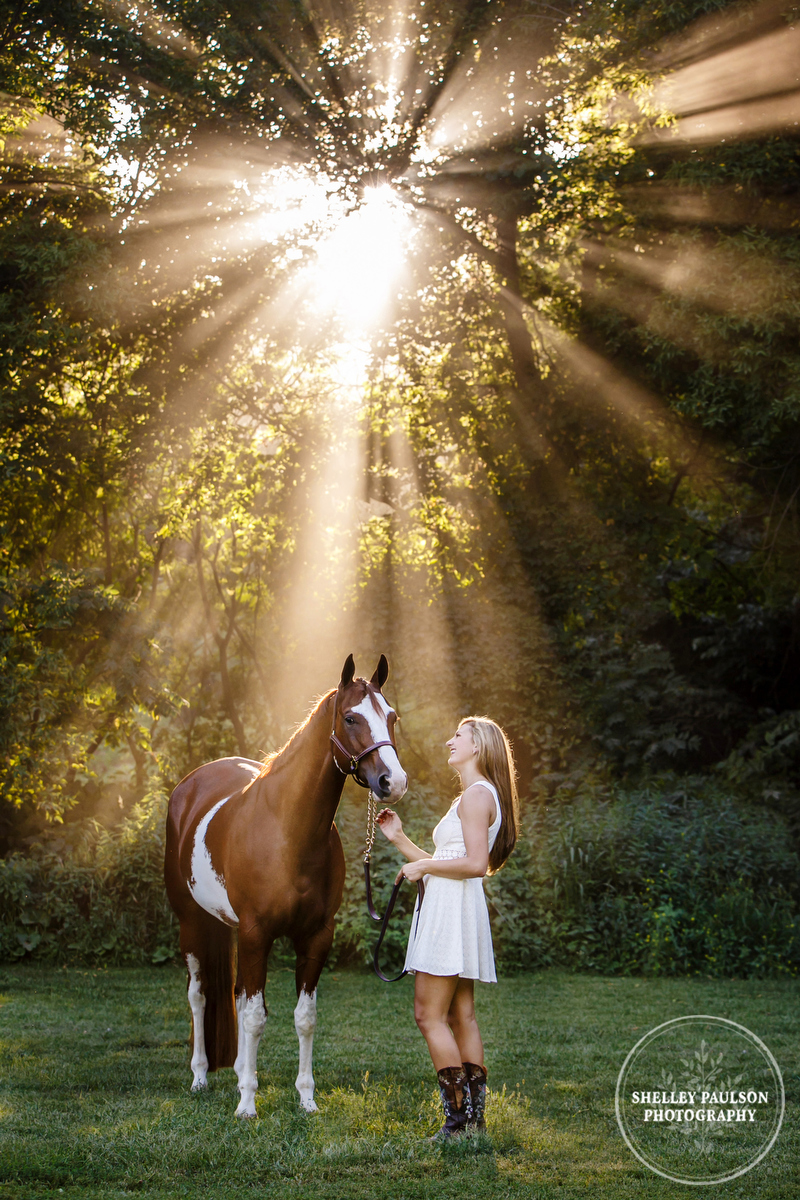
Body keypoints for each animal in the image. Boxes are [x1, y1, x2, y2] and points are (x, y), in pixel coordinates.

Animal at [165, 657, 410, 1113]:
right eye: (350, 718)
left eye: (392, 717)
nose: (394, 782)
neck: (289, 832)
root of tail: (189, 785)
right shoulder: (257, 932)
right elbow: (254, 1016)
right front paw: (247, 1105)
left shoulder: (314, 937)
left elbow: (303, 1018)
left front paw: (305, 1098)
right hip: (192, 923)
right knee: (199, 996)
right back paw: (201, 1077)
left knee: (236, 994)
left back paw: (238, 1073)